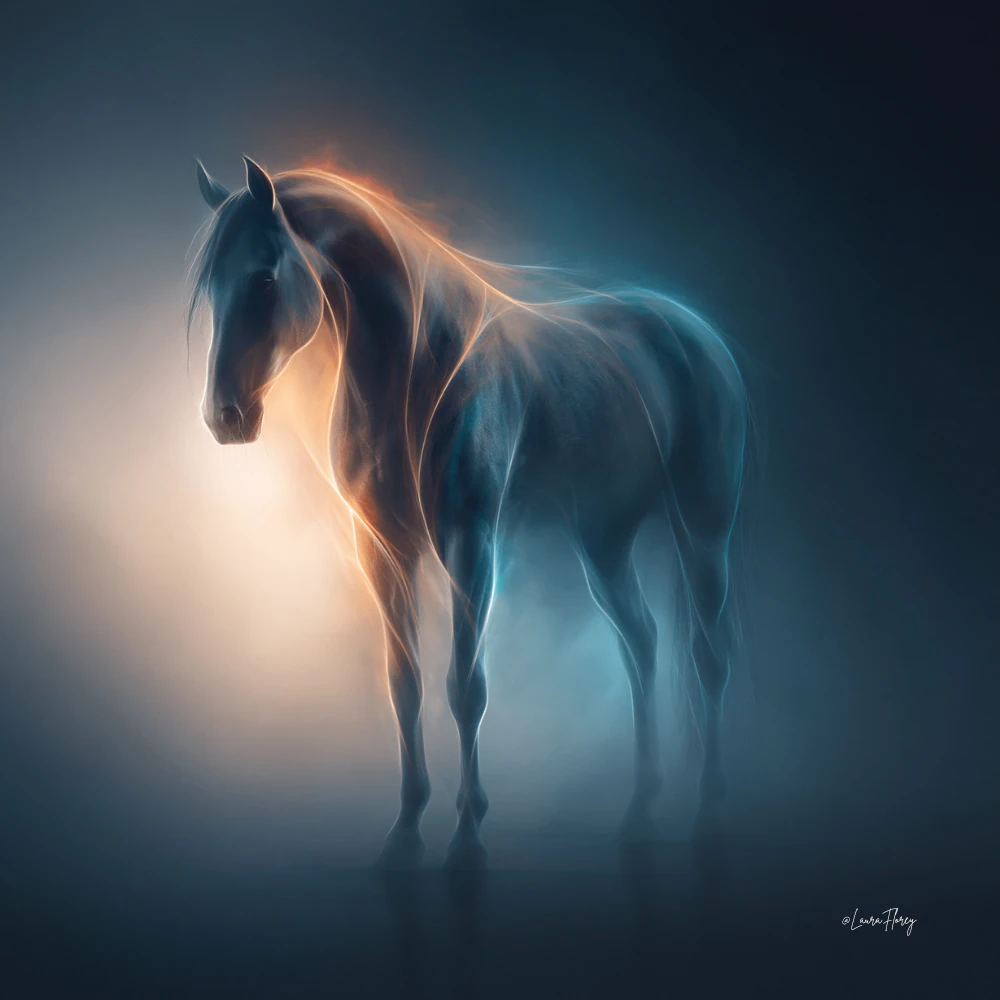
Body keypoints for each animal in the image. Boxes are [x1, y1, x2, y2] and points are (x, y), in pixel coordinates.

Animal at [189, 155, 750, 869]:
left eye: (263, 278)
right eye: (211, 291)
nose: (224, 417)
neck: (414, 367)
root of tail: (695, 330)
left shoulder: (470, 541)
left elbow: (466, 686)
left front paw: (467, 836)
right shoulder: (383, 547)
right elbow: (405, 685)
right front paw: (405, 831)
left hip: (704, 528)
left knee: (709, 654)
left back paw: (711, 814)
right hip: (604, 536)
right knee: (641, 643)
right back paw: (640, 813)